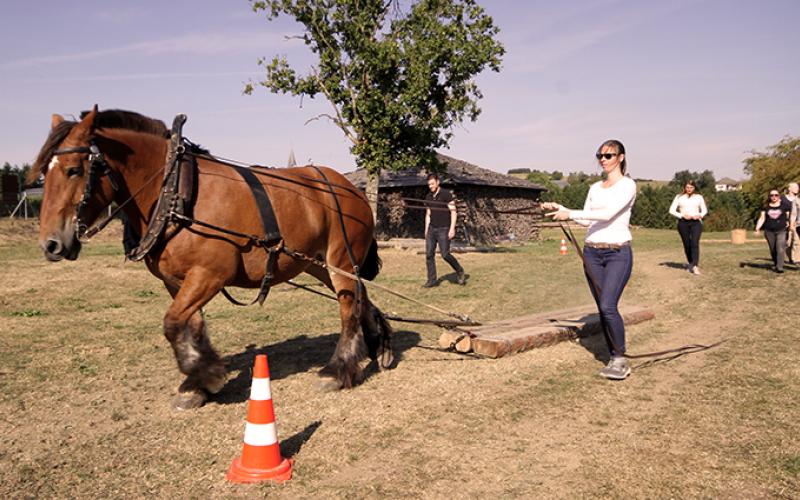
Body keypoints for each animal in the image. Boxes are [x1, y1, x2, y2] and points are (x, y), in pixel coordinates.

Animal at [31, 107, 394, 408]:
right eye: (44, 174)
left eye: (74, 170)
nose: (51, 244)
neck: (175, 193)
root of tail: (351, 187)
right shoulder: (176, 281)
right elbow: (190, 325)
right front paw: (197, 384)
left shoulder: (210, 274)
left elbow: (172, 323)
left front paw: (204, 373)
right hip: (317, 264)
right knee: (359, 296)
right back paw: (379, 343)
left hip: (340, 259)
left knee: (347, 308)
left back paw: (337, 369)